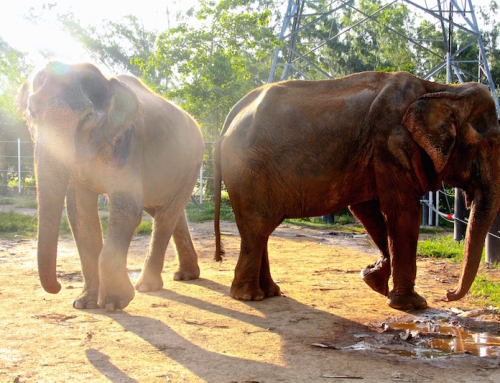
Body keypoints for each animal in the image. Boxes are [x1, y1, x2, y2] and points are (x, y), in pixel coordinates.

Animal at [18, 60, 204, 312]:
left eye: (87, 116)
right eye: (32, 112)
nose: (57, 287)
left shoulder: (125, 145)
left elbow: (127, 207)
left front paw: (113, 303)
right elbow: (79, 211)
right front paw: (84, 303)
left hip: (191, 163)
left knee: (166, 215)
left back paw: (146, 286)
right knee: (167, 211)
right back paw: (185, 276)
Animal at [214, 71, 500, 312]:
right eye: (491, 144)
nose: (448, 294)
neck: (442, 89)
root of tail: (231, 115)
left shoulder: (377, 154)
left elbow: (367, 209)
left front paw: (373, 280)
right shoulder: (391, 143)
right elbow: (403, 211)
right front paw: (413, 305)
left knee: (259, 230)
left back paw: (269, 292)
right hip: (247, 169)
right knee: (257, 226)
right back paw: (250, 296)